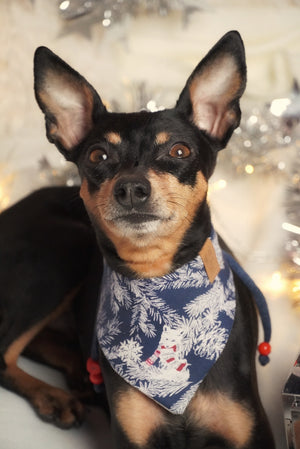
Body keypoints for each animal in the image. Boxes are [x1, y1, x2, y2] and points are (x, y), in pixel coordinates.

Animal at [0, 29, 276, 446]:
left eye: (179, 150)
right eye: (97, 156)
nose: (131, 188)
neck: (157, 278)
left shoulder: (251, 431)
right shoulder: (133, 437)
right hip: (61, 250)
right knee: (3, 354)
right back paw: (53, 396)